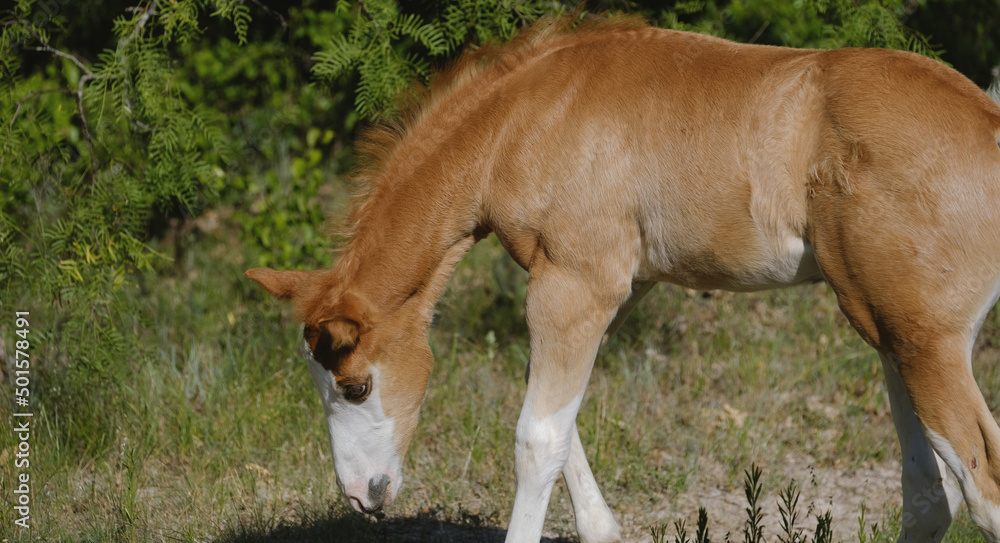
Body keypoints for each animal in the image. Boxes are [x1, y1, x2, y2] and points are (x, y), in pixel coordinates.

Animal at [246, 16, 1000, 543]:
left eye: (356, 384)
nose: (362, 495)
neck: (524, 118)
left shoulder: (575, 283)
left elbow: (536, 437)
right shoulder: (610, 288)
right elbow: (557, 413)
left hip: (926, 343)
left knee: (981, 486)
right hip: (889, 330)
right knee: (930, 494)